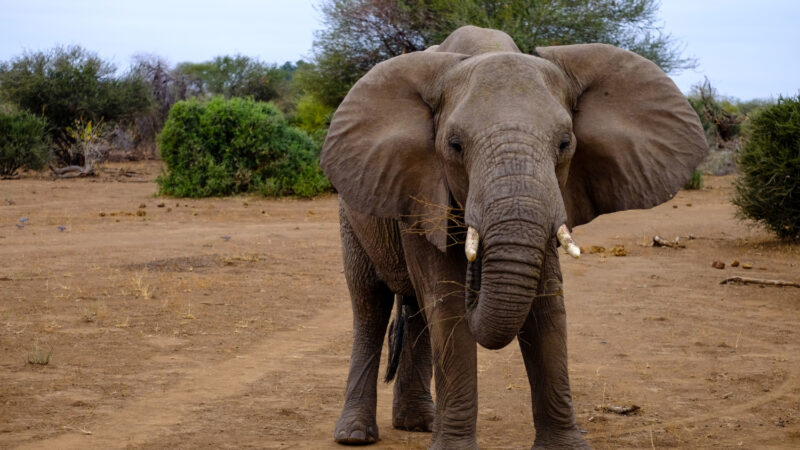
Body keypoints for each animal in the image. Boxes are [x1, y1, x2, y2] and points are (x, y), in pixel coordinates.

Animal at [318, 25, 708, 450]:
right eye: (454, 145)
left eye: (565, 143)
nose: (476, 267)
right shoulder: (421, 189)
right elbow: (447, 301)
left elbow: (546, 305)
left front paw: (565, 448)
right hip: (351, 214)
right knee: (370, 305)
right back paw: (355, 434)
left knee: (417, 313)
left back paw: (419, 423)